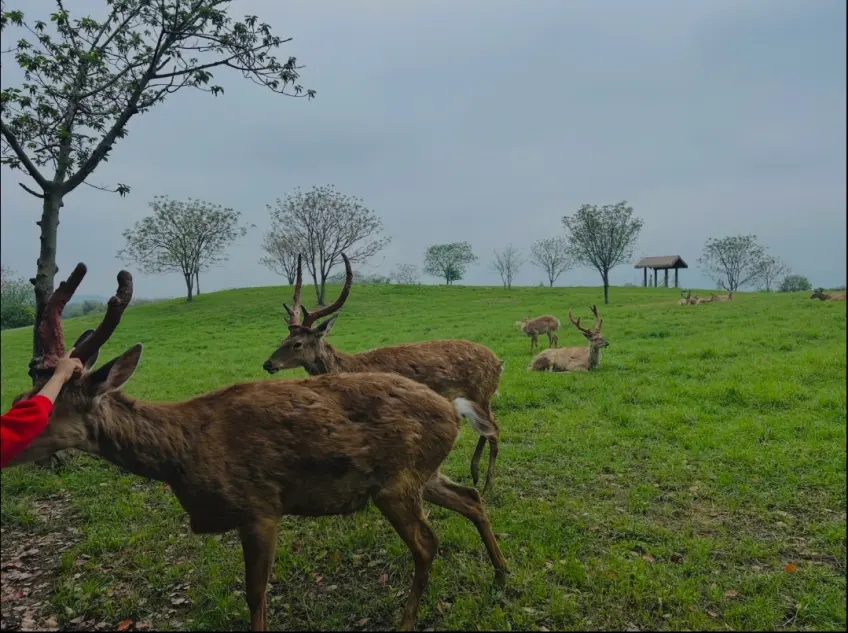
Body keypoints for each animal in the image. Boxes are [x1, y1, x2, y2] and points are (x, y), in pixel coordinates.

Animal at [264, 254, 504, 496]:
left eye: (297, 343)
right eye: (282, 339)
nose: (268, 364)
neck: (347, 367)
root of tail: (498, 362)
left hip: (481, 393)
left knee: (493, 428)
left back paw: (488, 484)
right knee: (486, 426)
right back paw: (475, 473)